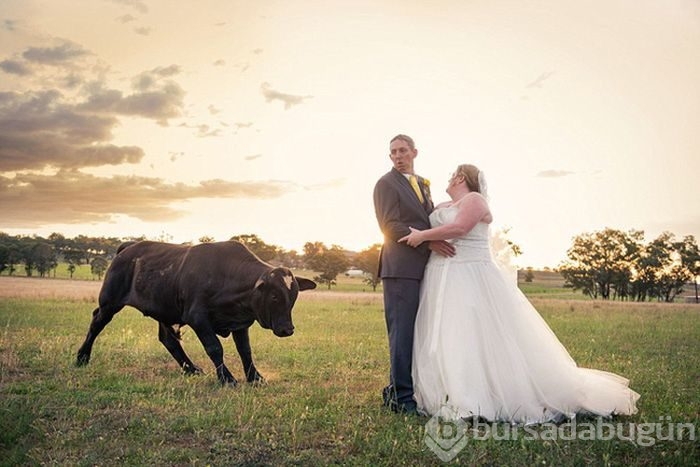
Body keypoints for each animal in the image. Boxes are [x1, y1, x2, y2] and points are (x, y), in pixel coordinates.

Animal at [75, 239, 316, 386]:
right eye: (274, 296)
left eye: (293, 296)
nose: (287, 329)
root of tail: (129, 247)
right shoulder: (198, 318)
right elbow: (215, 348)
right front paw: (227, 379)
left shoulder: (240, 323)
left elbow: (245, 351)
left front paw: (255, 377)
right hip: (109, 302)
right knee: (96, 323)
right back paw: (82, 357)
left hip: (163, 309)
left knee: (168, 339)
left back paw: (190, 368)